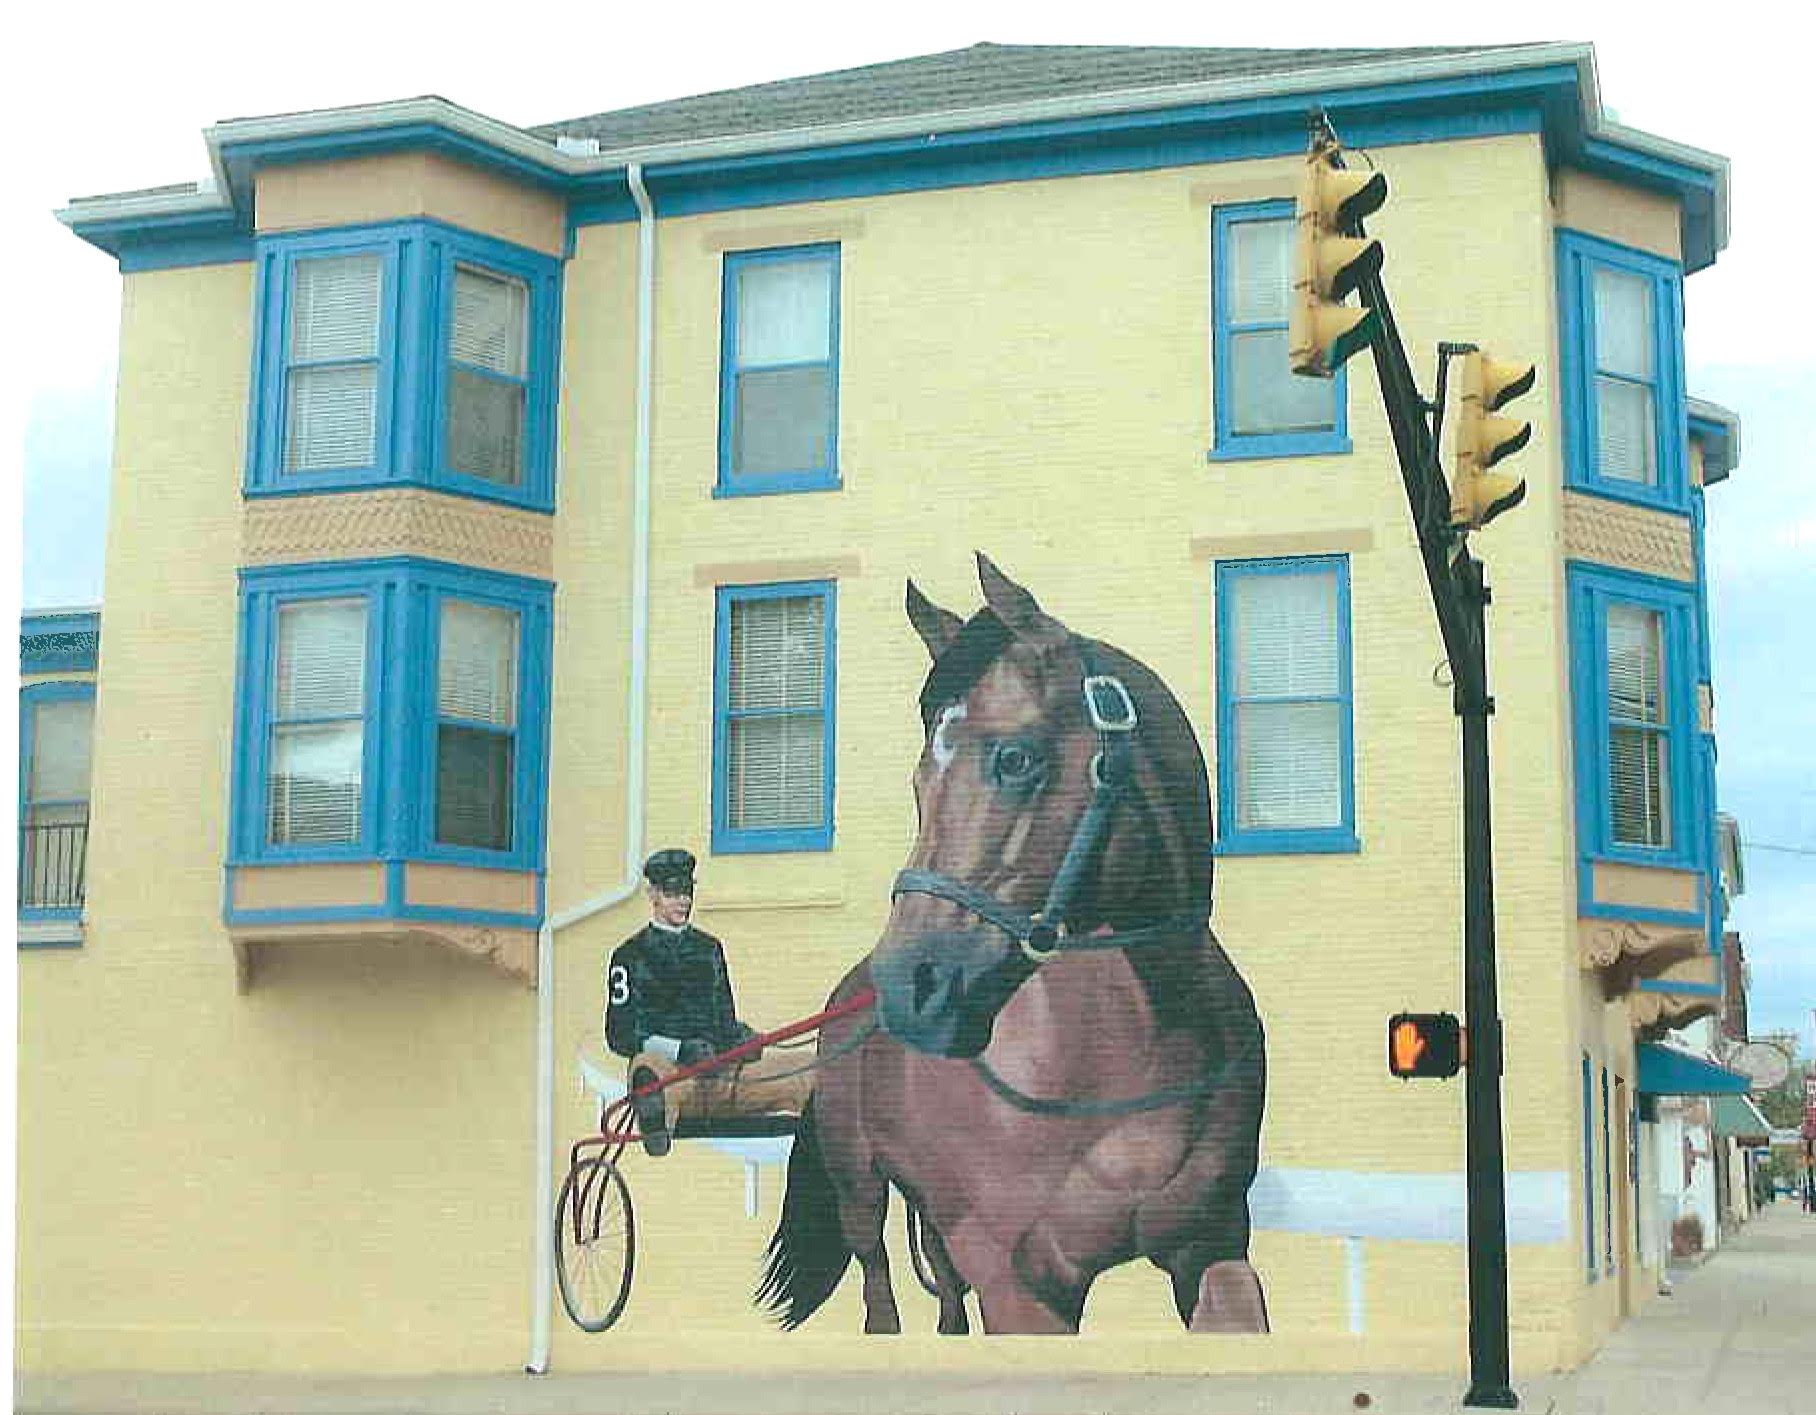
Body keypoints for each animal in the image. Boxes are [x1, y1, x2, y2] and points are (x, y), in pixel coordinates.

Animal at [759, 555, 1271, 1336]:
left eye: (1015, 758)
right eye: (920, 779)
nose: (913, 986)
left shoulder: (1213, 1248)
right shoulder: (1023, 1285)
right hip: (862, 1189)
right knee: (877, 1282)